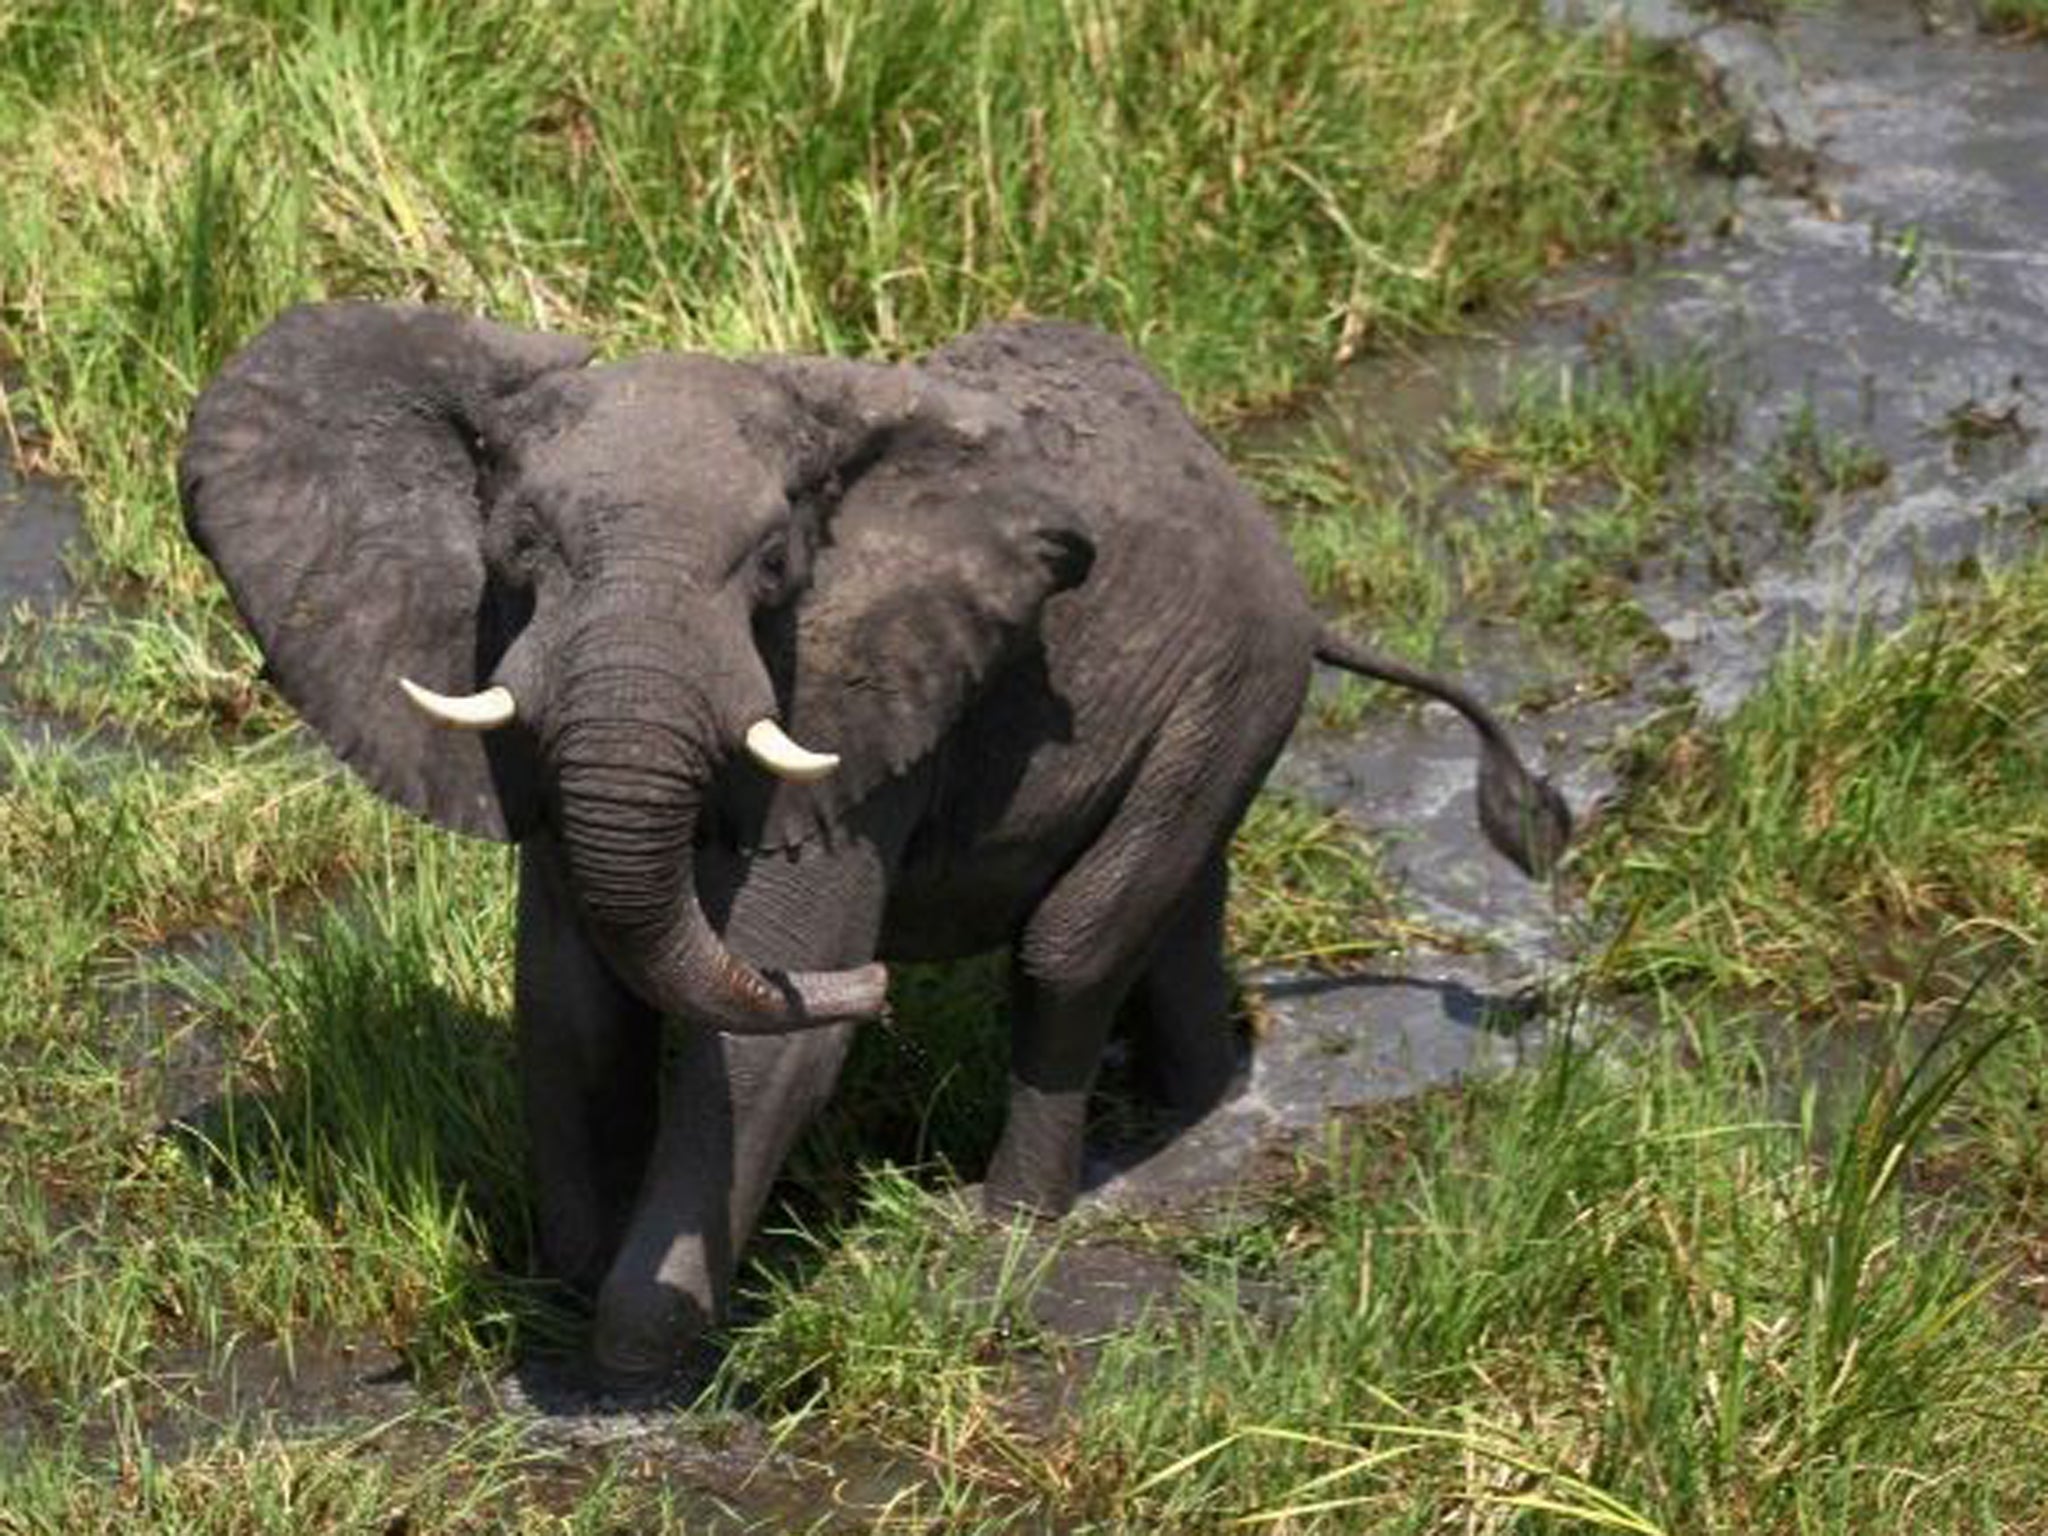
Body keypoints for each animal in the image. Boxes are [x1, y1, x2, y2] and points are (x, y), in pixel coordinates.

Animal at [180, 303, 1564, 1384]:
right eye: (518, 548)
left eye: (774, 565)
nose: (880, 983)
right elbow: (570, 1003)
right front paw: (562, 1292)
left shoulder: (848, 718)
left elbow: (757, 1042)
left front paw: (639, 1354)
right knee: (1169, 911)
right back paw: (1193, 1105)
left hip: (1234, 683)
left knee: (1070, 945)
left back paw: (1006, 1224)